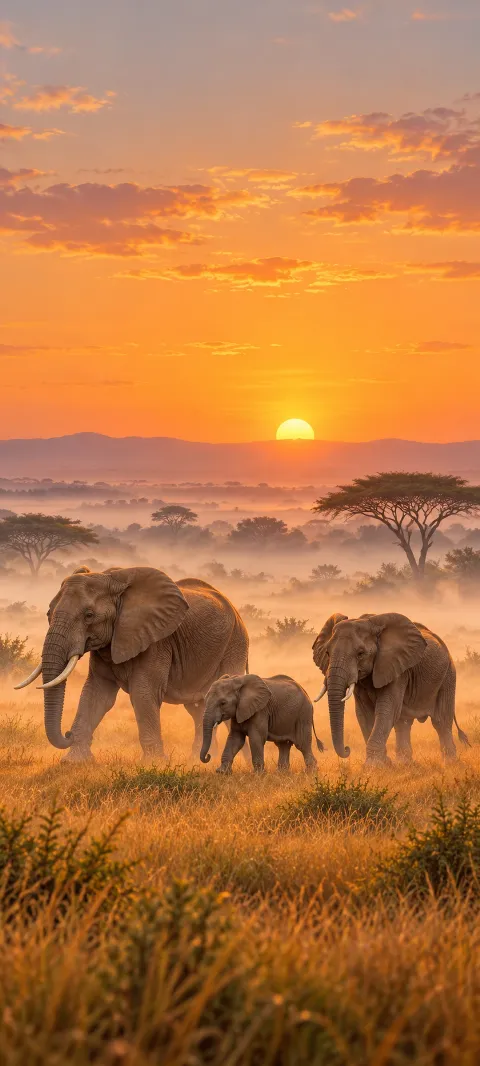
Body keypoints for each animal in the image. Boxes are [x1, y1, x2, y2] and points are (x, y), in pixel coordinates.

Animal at [15, 566, 249, 762]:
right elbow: (96, 694)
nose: (68, 733)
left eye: (89, 615)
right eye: (48, 613)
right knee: (198, 708)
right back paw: (201, 760)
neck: (111, 579)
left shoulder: (156, 642)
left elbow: (143, 693)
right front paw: (73, 763)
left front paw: (155, 764)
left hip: (234, 645)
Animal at [312, 612, 470, 766]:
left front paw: (373, 766)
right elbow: (364, 713)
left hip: (448, 675)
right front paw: (384, 763)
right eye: (327, 653)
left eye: (360, 654)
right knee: (403, 722)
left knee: (441, 721)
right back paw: (404, 762)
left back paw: (450, 762)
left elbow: (387, 709)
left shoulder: (397, 670)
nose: (347, 749)